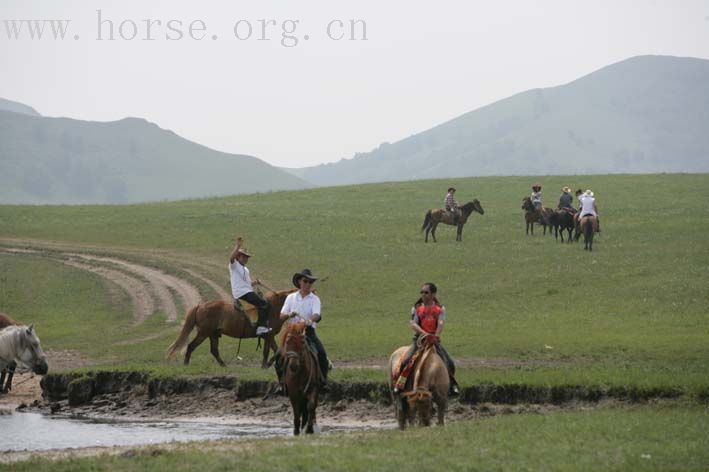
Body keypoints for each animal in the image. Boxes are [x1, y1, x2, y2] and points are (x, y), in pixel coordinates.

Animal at [166, 288, 294, 368]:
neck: (274, 308)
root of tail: (200, 306)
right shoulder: (269, 336)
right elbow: (273, 351)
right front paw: (266, 365)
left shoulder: (268, 337)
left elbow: (275, 351)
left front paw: (266, 365)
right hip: (203, 333)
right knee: (191, 346)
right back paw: (186, 364)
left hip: (213, 334)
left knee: (214, 350)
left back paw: (224, 365)